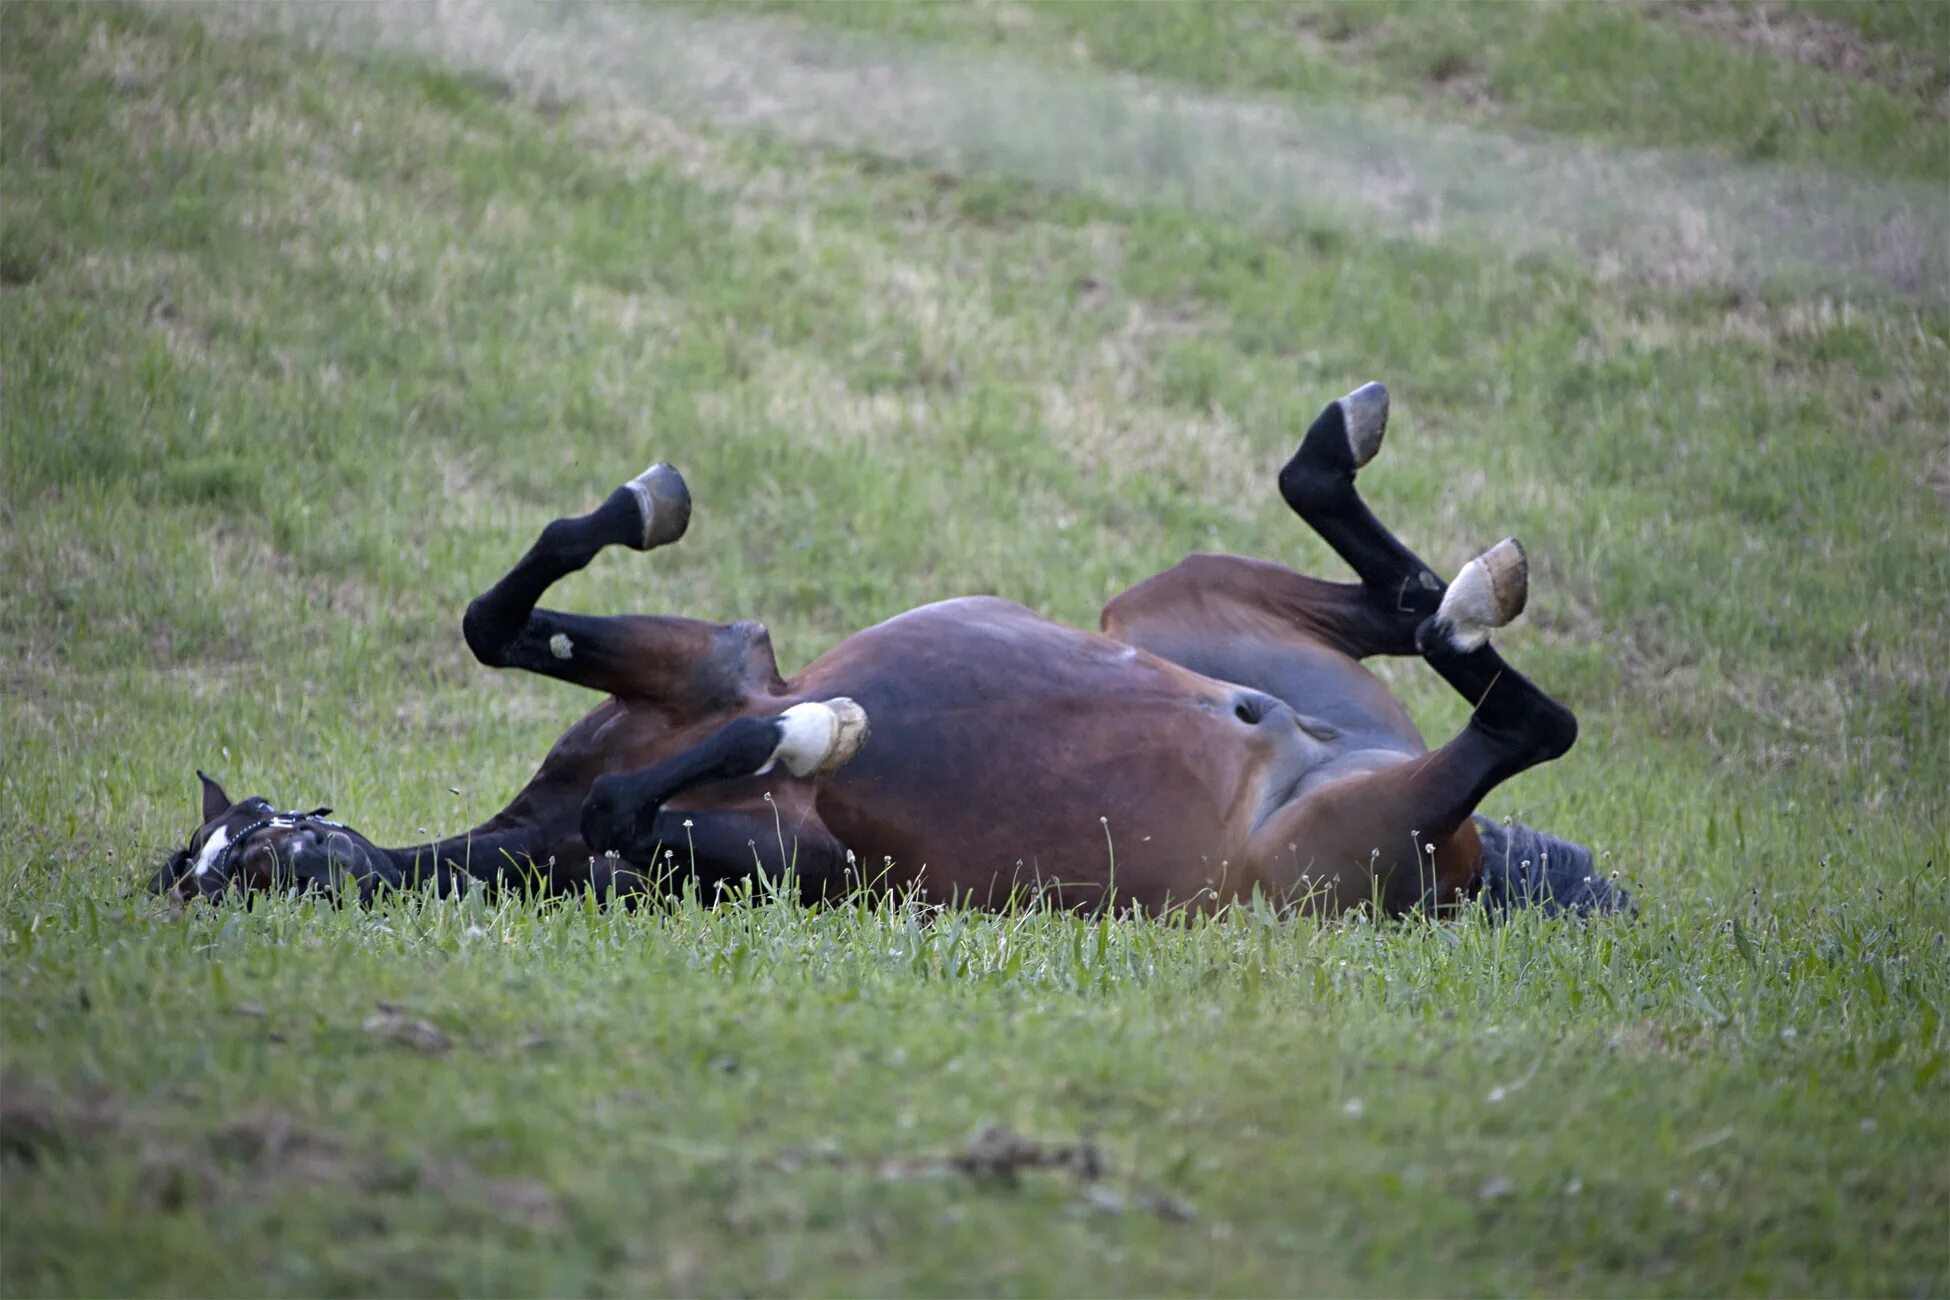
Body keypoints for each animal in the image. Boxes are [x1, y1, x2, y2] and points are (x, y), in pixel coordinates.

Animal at [159, 382, 1630, 919]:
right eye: (225, 870)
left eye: (263, 840)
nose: (261, 853)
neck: (541, 841)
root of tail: (1471, 871)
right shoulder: (802, 866)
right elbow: (644, 805)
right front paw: (820, 733)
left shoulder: (715, 665)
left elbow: (505, 621)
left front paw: (645, 505)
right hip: (1327, 847)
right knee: (1519, 721)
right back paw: (1464, 596)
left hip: (1171, 607)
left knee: (1400, 605)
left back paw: (1395, 503)